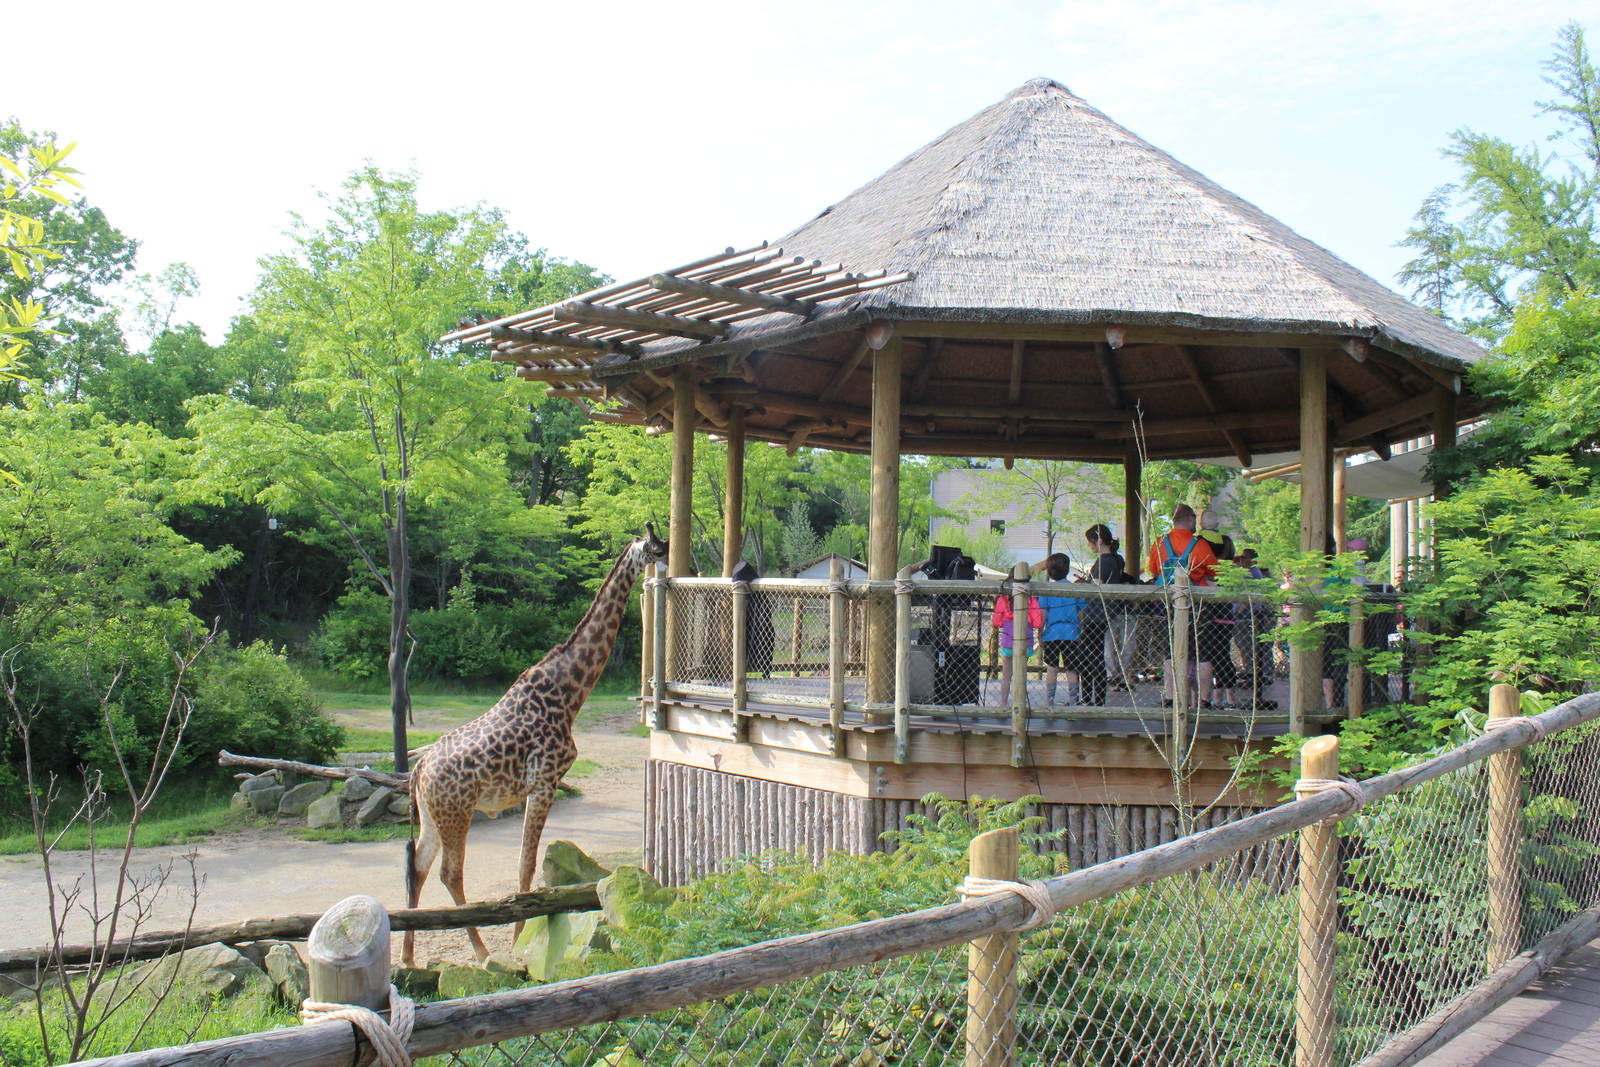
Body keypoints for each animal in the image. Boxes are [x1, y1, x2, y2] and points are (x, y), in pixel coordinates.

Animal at [402, 524, 668, 965]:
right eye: (657, 550)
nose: (687, 566)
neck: (569, 692)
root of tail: (418, 770)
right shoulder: (545, 782)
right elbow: (526, 866)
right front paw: (518, 943)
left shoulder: (538, 787)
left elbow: (526, 865)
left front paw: (521, 939)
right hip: (457, 812)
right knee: (449, 873)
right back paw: (481, 951)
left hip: (432, 815)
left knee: (417, 867)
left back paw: (407, 957)